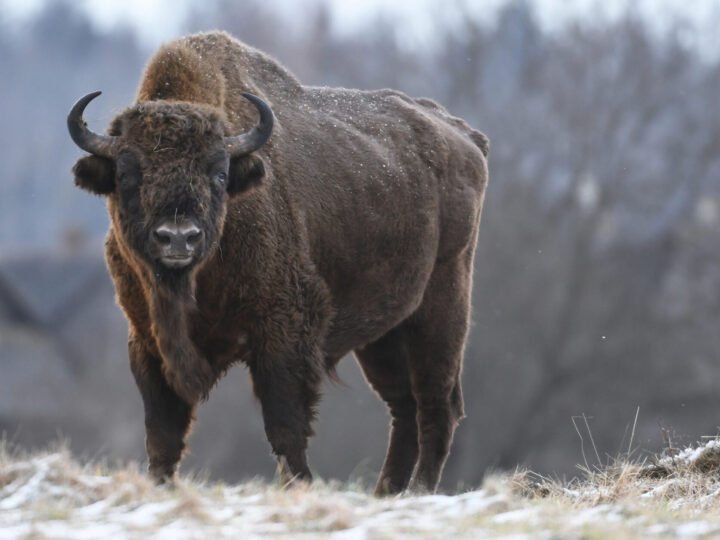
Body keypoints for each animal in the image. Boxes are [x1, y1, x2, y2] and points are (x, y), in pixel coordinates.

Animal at [67, 29, 490, 494]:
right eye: (126, 174)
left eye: (219, 173)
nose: (178, 237)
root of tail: (465, 136)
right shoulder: (148, 341)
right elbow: (162, 433)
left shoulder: (284, 332)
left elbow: (285, 425)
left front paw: (301, 484)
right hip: (385, 334)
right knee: (403, 407)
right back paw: (387, 493)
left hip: (443, 307)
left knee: (436, 404)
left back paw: (418, 490)